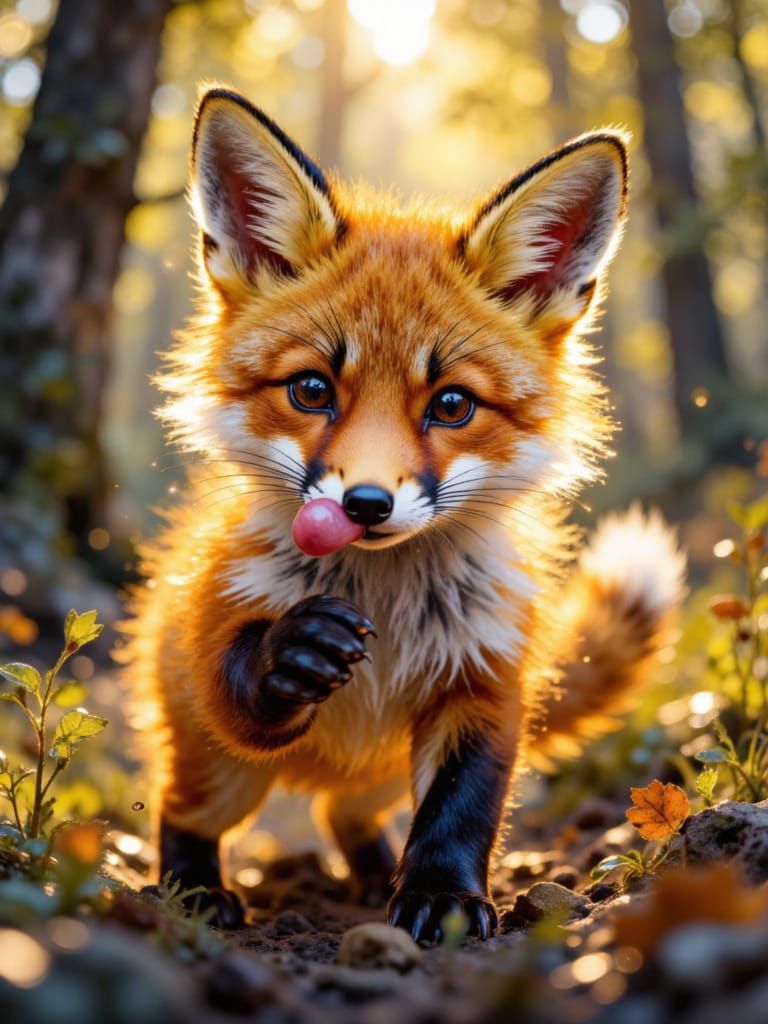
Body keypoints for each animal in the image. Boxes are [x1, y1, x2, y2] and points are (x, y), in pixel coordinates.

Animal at [124, 86, 686, 941]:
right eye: (312, 390)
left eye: (452, 405)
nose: (364, 503)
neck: (384, 610)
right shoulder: (214, 629)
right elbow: (239, 688)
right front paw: (291, 652)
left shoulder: (485, 683)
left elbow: (462, 811)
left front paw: (443, 898)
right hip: (225, 774)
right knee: (186, 811)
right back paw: (194, 890)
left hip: (379, 778)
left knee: (342, 815)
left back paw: (371, 871)